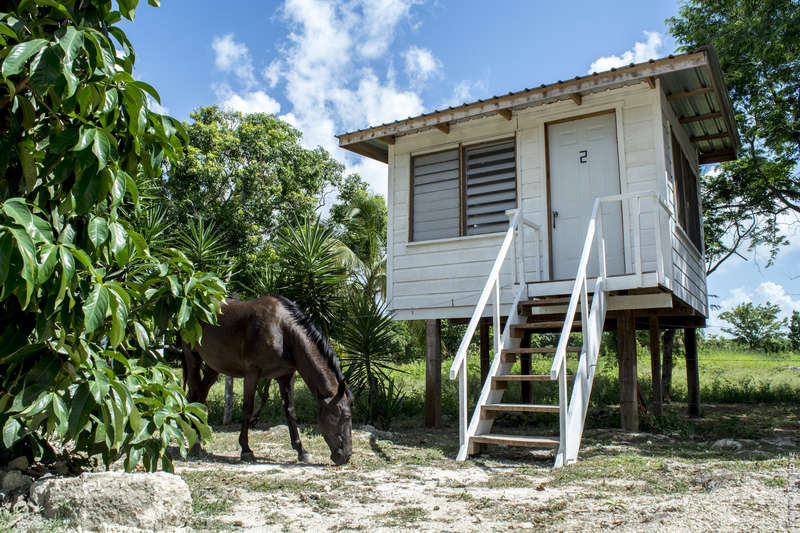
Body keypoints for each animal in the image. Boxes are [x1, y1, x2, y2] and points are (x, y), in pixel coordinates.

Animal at [186, 294, 354, 464]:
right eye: (346, 416)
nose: (346, 455)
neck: (282, 331)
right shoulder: (252, 374)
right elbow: (247, 409)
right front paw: (246, 450)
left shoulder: (286, 376)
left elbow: (290, 411)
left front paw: (301, 450)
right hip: (193, 359)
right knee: (194, 395)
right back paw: (195, 445)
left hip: (213, 368)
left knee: (200, 397)